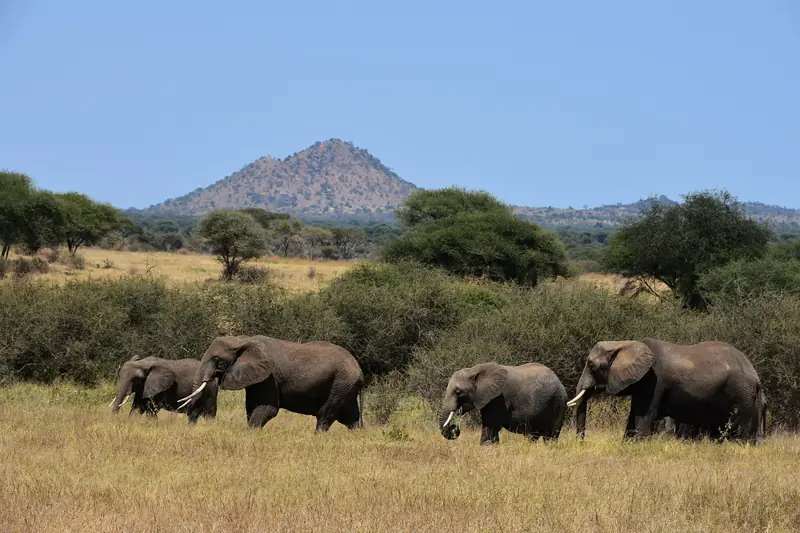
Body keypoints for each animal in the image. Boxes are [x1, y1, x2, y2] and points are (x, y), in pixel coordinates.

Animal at [178, 335, 364, 431]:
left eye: (218, 360)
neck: (243, 340)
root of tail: (360, 371)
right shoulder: (257, 378)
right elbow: (252, 407)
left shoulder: (269, 377)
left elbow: (267, 408)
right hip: (345, 386)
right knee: (350, 417)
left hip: (341, 384)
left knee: (326, 415)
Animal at [438, 362, 567, 445]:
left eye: (458, 392)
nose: (454, 428)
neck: (474, 370)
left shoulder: (499, 398)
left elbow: (491, 423)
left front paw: (487, 446)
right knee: (534, 435)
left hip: (559, 402)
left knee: (551, 435)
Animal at [567, 339, 766, 443]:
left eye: (591, 365)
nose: (582, 443)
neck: (624, 344)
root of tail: (755, 374)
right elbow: (633, 417)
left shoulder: (654, 381)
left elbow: (643, 417)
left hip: (741, 392)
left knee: (740, 430)